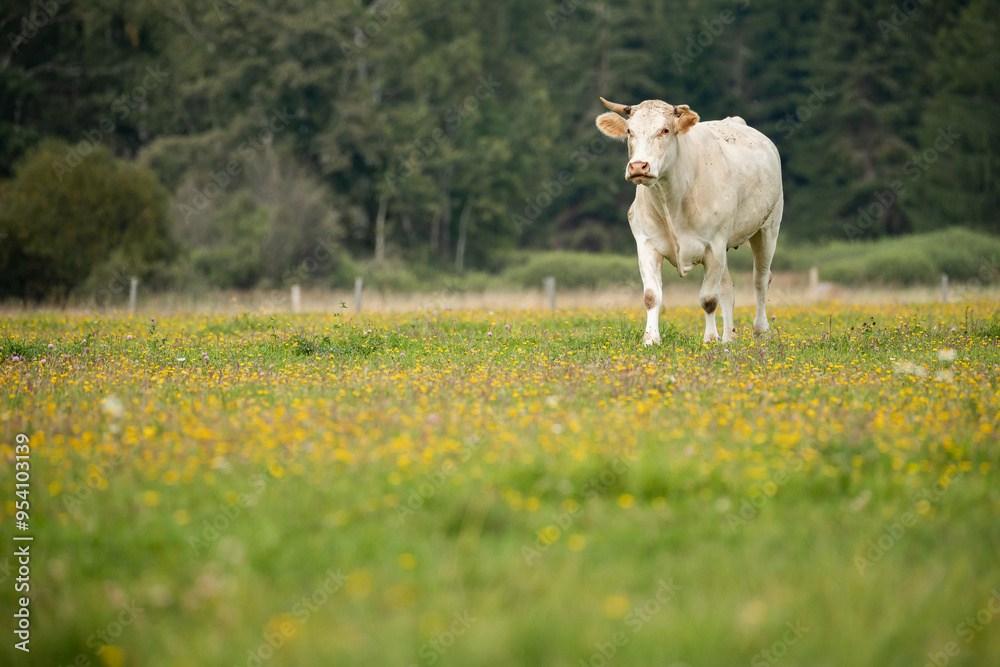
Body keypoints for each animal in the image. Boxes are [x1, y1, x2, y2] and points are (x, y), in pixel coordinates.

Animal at [595, 97, 783, 345]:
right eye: (629, 131)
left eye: (665, 130)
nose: (638, 166)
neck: (671, 200)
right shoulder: (646, 244)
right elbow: (651, 296)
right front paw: (651, 339)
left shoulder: (714, 246)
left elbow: (708, 299)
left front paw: (710, 339)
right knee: (728, 289)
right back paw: (728, 339)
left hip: (767, 229)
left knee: (760, 280)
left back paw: (760, 330)